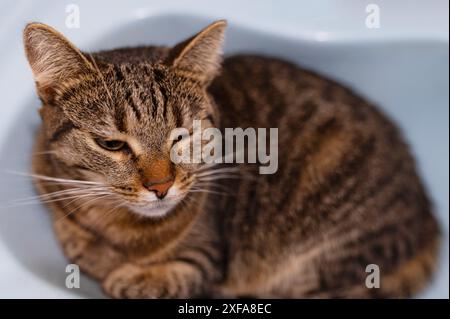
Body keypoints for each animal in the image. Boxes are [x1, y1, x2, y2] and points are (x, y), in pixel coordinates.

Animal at [23, 20, 440, 300]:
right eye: (111, 144)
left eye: (182, 135)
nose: (161, 187)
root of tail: (428, 216)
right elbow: (80, 244)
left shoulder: (207, 256)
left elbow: (176, 274)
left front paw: (134, 277)